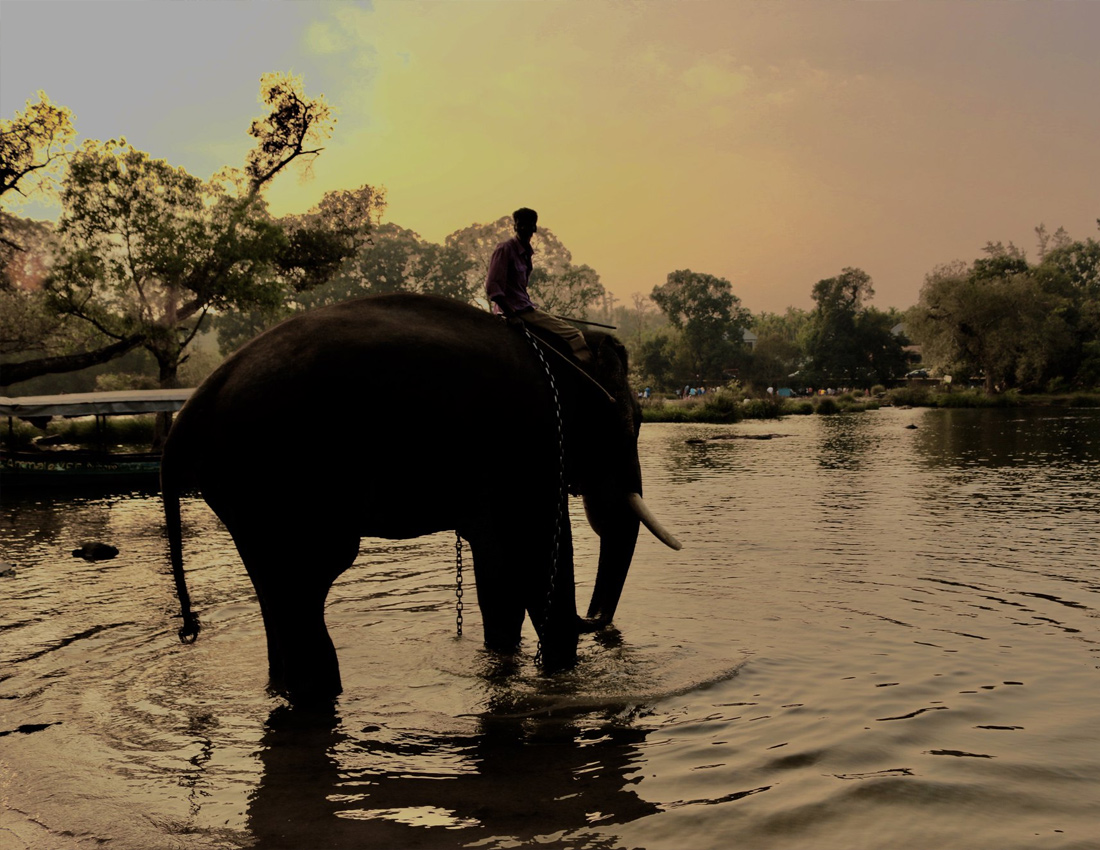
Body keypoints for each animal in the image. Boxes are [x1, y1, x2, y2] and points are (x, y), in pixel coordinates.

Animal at [162, 293, 680, 704]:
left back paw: (281, 692)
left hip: (244, 497)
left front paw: (502, 661)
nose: (593, 619)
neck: (562, 350)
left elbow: (496, 566)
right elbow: (537, 559)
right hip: (280, 481)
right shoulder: (531, 444)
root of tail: (187, 413)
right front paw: (559, 674)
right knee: (308, 584)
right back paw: (321, 695)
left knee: (277, 596)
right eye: (632, 423)